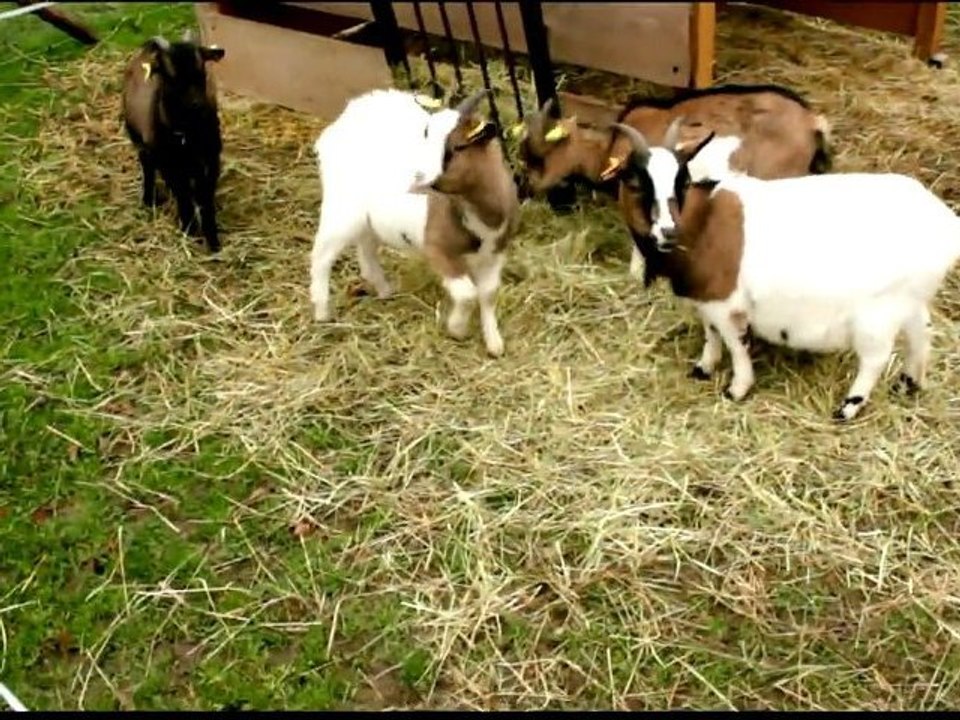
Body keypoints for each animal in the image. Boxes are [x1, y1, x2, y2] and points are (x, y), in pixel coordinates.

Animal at [122, 31, 226, 252]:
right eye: (170, 76)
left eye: (202, 69)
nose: (197, 104)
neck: (188, 134)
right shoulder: (170, 164)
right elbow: (183, 195)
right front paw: (189, 229)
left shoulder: (210, 161)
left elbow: (205, 198)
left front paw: (213, 241)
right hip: (139, 141)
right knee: (148, 168)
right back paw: (148, 199)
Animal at [308, 88, 520, 357]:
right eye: (427, 134)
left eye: (456, 148)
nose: (416, 177)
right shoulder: (438, 248)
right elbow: (467, 294)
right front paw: (457, 329)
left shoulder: (495, 254)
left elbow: (489, 293)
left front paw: (494, 342)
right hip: (342, 209)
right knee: (322, 256)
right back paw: (323, 312)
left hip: (368, 220)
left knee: (366, 251)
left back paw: (385, 291)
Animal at [611, 122, 960, 421]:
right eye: (633, 181)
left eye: (682, 181)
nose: (668, 231)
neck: (704, 221)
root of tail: (946, 223)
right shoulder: (707, 298)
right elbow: (711, 333)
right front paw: (703, 368)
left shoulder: (727, 303)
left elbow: (735, 344)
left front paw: (737, 389)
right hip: (910, 298)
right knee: (922, 331)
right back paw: (909, 383)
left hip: (878, 315)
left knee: (876, 358)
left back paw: (847, 408)